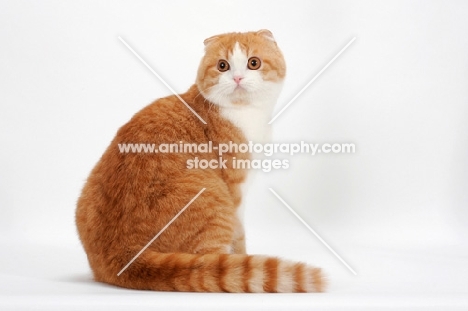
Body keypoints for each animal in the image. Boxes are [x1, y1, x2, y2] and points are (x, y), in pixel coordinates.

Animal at [77, 29, 326, 292]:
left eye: (253, 63)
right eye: (222, 65)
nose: (237, 78)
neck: (244, 113)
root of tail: (121, 254)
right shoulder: (234, 190)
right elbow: (239, 234)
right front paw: (241, 259)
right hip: (213, 196)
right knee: (208, 260)